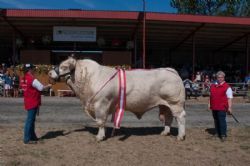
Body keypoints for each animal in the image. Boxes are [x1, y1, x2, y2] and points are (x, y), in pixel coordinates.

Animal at [48, 56, 186, 141]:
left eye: (64, 67)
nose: (49, 72)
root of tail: (170, 70)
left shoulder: (101, 104)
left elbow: (100, 122)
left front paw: (99, 137)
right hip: (165, 105)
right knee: (168, 118)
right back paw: (165, 132)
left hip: (175, 103)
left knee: (180, 117)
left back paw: (181, 136)